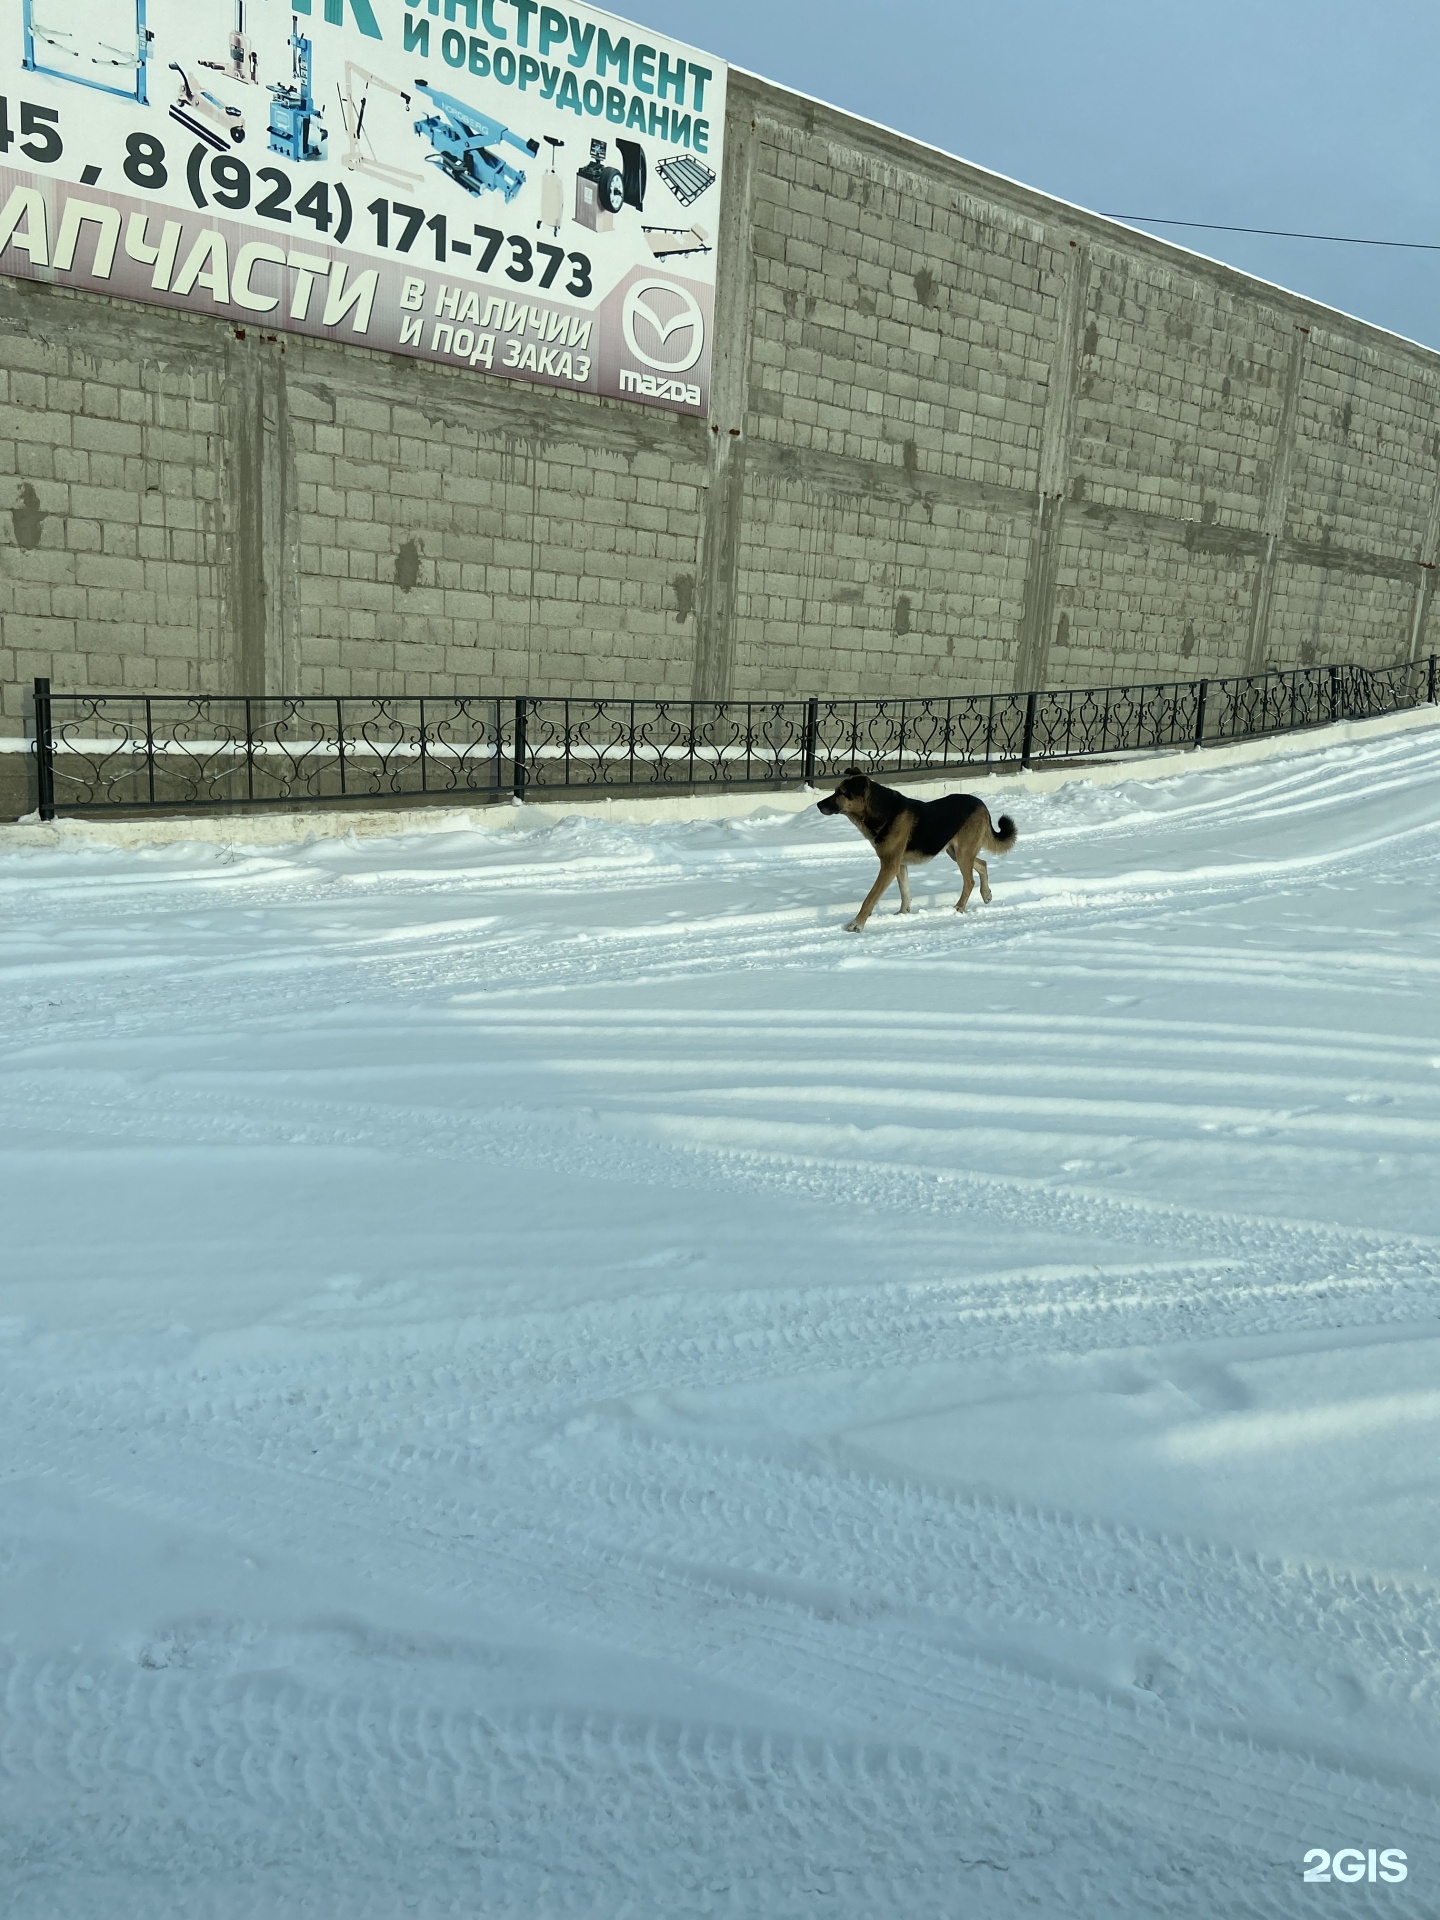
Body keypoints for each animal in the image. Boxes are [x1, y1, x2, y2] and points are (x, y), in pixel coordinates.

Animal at [817, 771, 1021, 936]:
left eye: (841, 792)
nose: (818, 805)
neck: (880, 811)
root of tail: (982, 804)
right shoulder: (899, 865)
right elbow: (905, 892)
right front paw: (903, 914)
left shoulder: (889, 866)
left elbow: (870, 898)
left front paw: (857, 925)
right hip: (956, 851)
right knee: (982, 864)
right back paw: (986, 894)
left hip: (962, 853)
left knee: (969, 881)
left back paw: (959, 907)